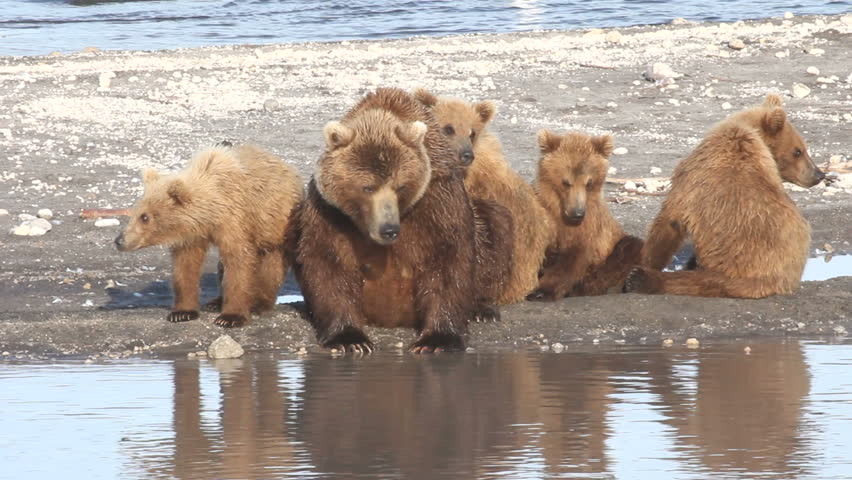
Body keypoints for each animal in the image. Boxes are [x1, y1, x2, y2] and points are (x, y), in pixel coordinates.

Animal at [115, 143, 304, 327]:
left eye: (145, 217)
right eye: (135, 212)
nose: (119, 240)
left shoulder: (235, 220)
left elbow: (238, 263)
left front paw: (230, 317)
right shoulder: (191, 235)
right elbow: (185, 267)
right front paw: (182, 312)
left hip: (276, 226)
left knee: (272, 267)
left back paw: (259, 303)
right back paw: (215, 302)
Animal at [293, 87, 501, 353]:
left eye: (400, 186)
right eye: (368, 187)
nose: (389, 229)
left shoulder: (436, 197)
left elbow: (447, 257)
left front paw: (436, 340)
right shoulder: (330, 211)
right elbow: (328, 262)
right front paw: (351, 339)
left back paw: (482, 309)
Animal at [529, 130, 643, 300]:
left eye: (589, 182)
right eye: (566, 182)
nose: (577, 213)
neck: (561, 211)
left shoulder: (588, 227)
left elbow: (573, 258)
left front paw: (542, 291)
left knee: (629, 248)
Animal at [624, 93, 825, 298]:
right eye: (798, 151)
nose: (819, 174)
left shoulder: (692, 178)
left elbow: (669, 221)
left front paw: (643, 262)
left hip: (733, 265)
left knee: (695, 281)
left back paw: (640, 279)